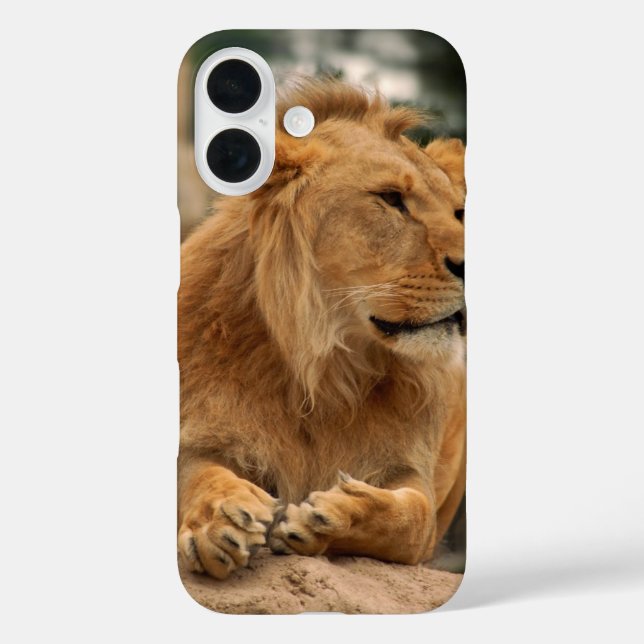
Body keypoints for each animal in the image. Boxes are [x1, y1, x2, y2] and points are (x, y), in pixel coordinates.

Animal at [178, 78, 466, 580]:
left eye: (459, 214)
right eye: (391, 198)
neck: (323, 369)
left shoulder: (412, 474)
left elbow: (412, 517)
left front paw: (328, 517)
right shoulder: (199, 431)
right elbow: (199, 477)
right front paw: (223, 521)